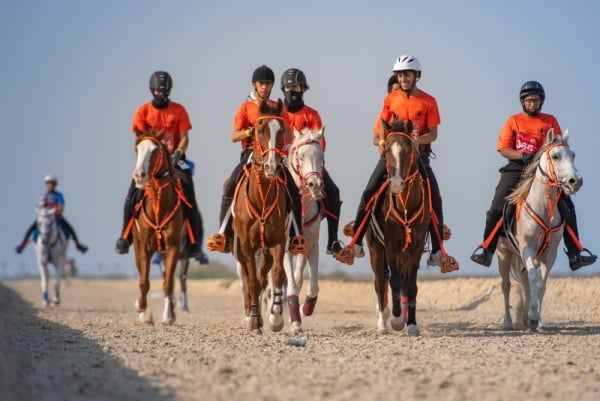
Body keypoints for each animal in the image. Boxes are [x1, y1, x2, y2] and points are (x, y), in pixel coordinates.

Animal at [131, 130, 185, 324]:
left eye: (155, 151)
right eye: (136, 149)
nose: (139, 175)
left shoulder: (173, 245)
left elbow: (168, 281)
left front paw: (168, 315)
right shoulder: (144, 246)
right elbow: (143, 281)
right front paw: (141, 309)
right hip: (138, 246)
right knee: (142, 273)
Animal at [368, 120, 428, 336]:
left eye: (409, 148)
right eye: (386, 149)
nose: (395, 184)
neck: (405, 206)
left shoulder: (416, 248)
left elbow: (410, 286)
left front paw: (411, 324)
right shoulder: (390, 245)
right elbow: (392, 281)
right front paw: (395, 320)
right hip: (376, 250)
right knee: (380, 282)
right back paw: (382, 324)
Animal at [496, 130, 580, 330]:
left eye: (572, 155)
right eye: (556, 156)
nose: (575, 181)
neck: (543, 208)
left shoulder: (550, 254)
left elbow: (541, 284)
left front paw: (536, 320)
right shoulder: (527, 248)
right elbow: (534, 278)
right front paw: (533, 317)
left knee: (526, 282)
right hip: (504, 254)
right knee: (506, 285)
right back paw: (508, 322)